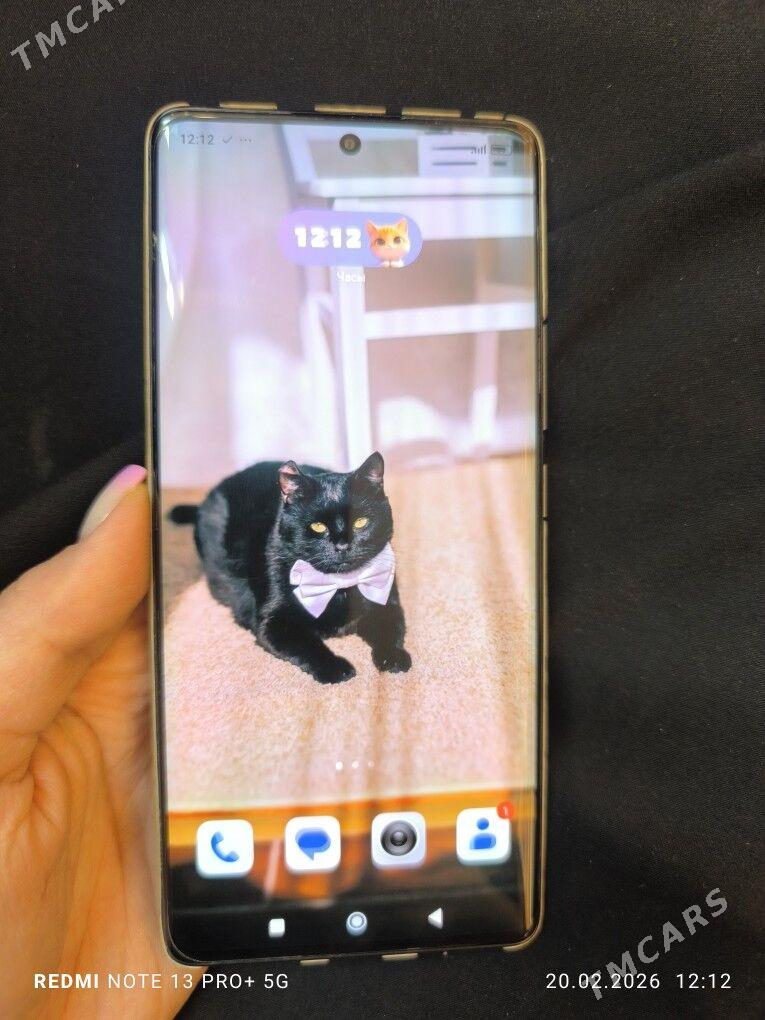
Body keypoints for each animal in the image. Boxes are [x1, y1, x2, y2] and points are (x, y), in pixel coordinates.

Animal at [169, 452, 412, 685]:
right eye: (318, 526)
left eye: (360, 522)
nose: (342, 546)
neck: (338, 586)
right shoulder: (274, 623)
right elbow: (309, 645)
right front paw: (337, 669)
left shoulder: (386, 601)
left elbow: (391, 629)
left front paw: (394, 658)